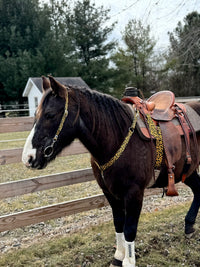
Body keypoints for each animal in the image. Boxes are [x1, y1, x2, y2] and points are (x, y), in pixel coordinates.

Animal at [21, 76, 200, 266]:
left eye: (50, 115)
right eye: (36, 114)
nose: (28, 158)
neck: (117, 138)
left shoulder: (134, 193)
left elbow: (129, 228)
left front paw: (129, 260)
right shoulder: (110, 193)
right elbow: (118, 223)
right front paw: (119, 256)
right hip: (187, 171)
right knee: (198, 190)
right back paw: (189, 225)